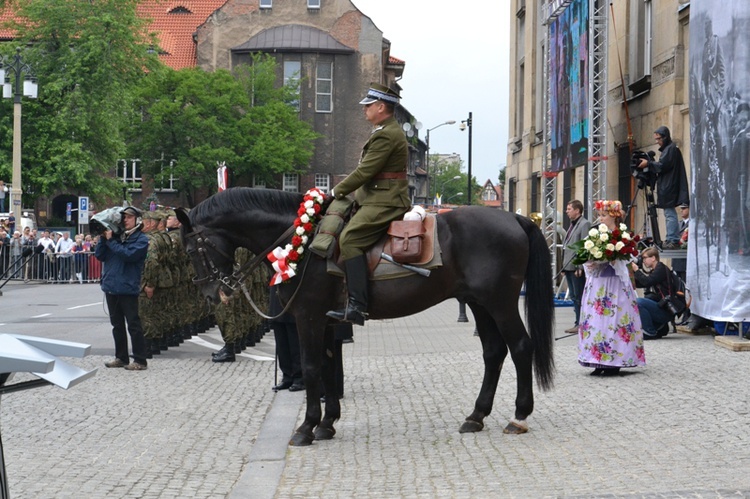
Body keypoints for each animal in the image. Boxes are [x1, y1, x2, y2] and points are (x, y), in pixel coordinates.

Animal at [175, 188, 552, 450]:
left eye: (192, 250)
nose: (211, 294)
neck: (303, 240)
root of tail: (514, 219)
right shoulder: (327, 321)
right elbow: (328, 368)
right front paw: (327, 424)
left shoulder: (308, 317)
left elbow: (311, 368)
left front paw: (306, 428)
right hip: (479, 304)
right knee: (493, 352)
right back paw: (476, 416)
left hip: (500, 303)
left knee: (521, 347)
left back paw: (519, 416)